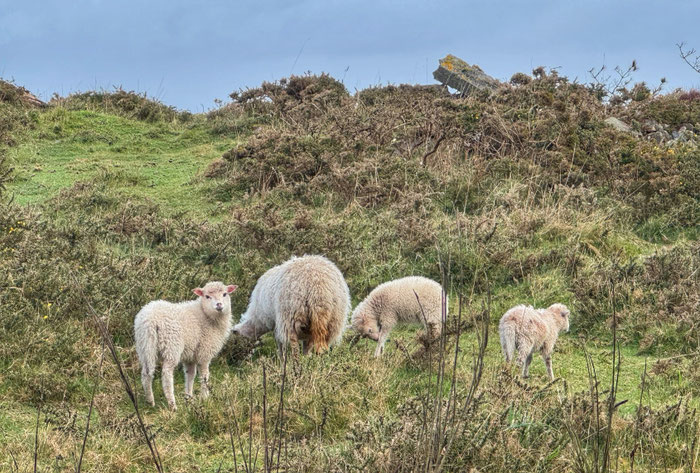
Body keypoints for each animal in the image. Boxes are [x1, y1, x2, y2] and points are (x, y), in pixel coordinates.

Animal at [134, 281, 238, 410]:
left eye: (225, 294)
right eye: (207, 296)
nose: (219, 305)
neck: (206, 315)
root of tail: (150, 320)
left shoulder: (190, 356)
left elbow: (190, 375)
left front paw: (189, 398)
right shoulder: (204, 351)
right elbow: (204, 376)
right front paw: (205, 397)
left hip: (145, 346)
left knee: (146, 373)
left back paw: (150, 402)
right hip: (171, 346)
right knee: (166, 375)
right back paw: (172, 405)